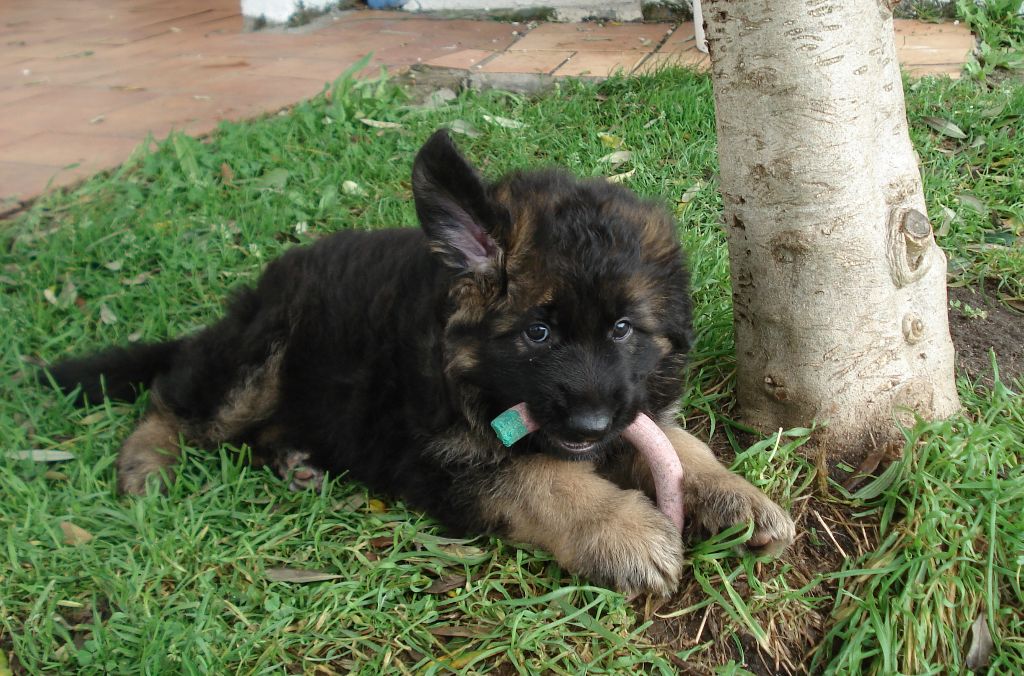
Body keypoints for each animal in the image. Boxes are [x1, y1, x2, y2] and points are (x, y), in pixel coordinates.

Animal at [48, 129, 794, 594]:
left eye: (622, 329)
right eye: (538, 334)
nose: (587, 427)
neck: (466, 373)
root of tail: (253, 296)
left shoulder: (633, 405)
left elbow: (680, 444)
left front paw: (738, 496)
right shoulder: (440, 458)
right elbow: (543, 479)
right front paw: (623, 531)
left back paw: (295, 461)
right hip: (259, 355)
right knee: (175, 398)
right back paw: (146, 462)